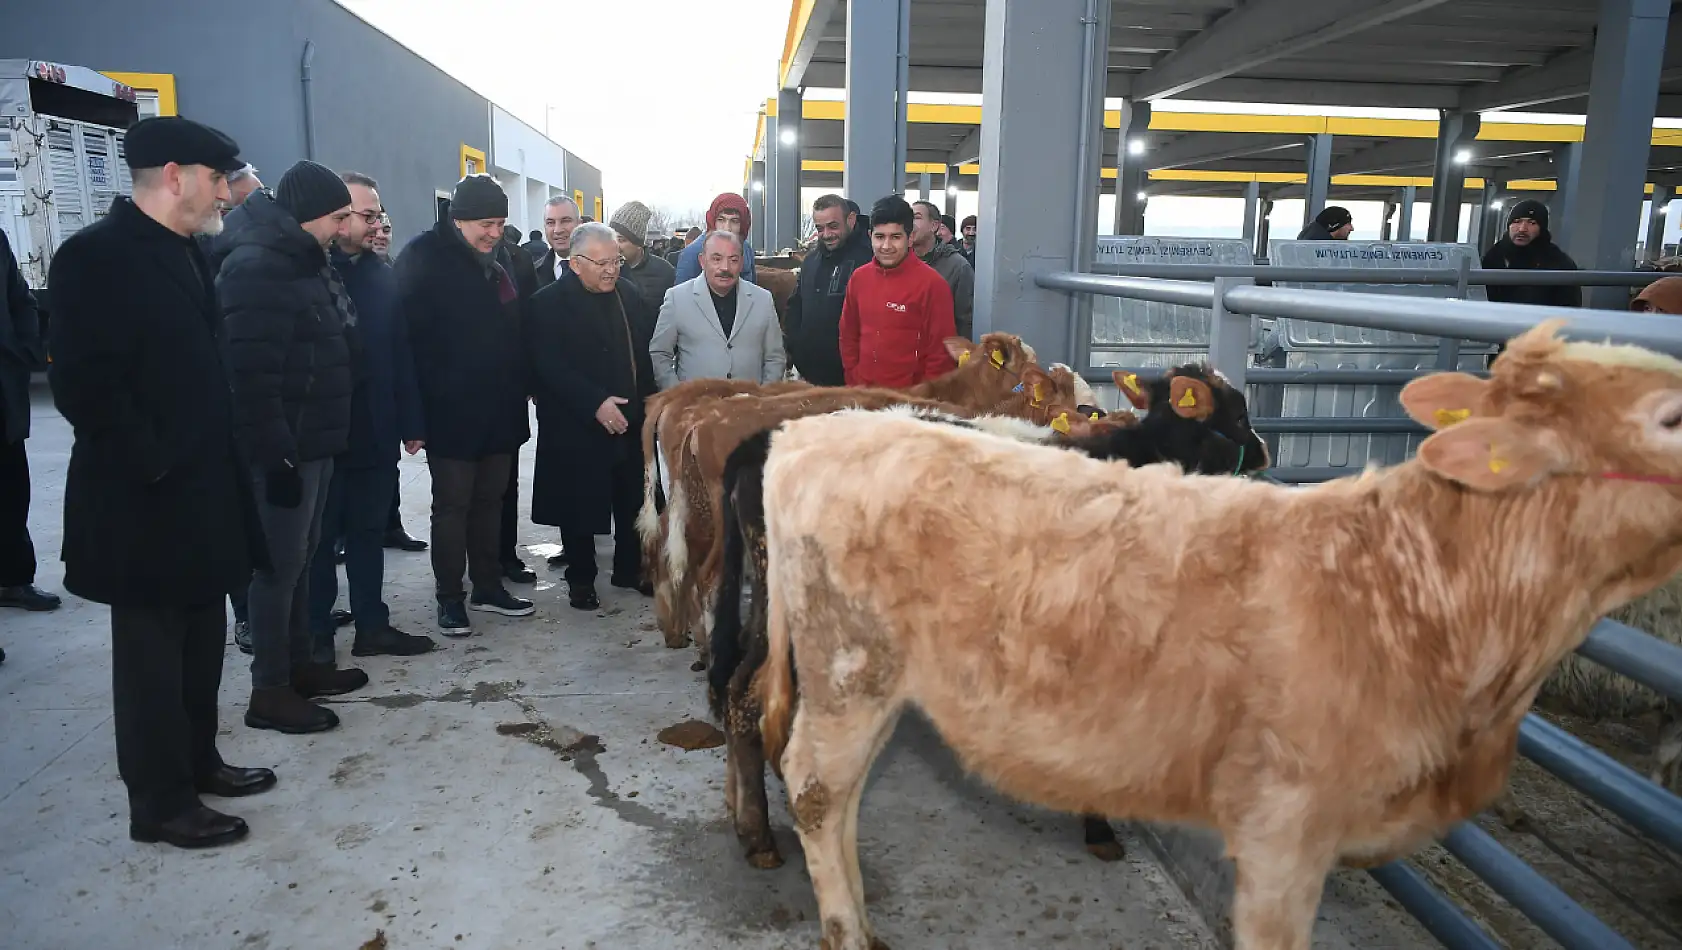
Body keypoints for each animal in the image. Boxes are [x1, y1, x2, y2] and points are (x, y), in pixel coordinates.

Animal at [763, 317, 1682, 948]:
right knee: (813, 787)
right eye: (1233, 419)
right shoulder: (1285, 818)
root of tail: (808, 431)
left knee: (842, 796)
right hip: (847, 665)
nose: (1268, 448)